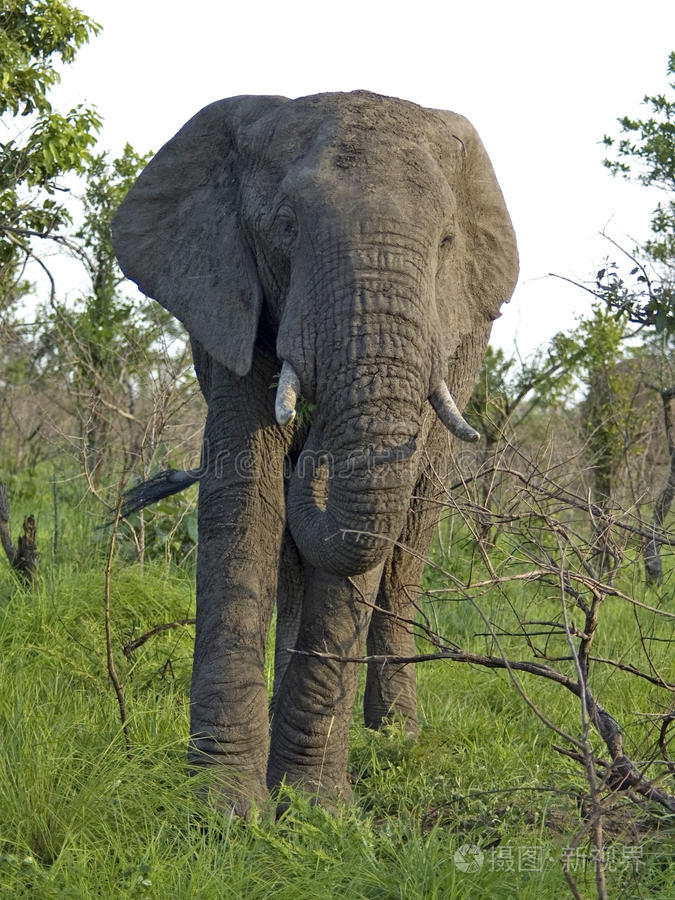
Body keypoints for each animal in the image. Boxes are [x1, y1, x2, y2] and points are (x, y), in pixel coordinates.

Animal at [113, 89, 520, 816]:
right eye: (285, 227)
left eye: (446, 242)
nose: (314, 443)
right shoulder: (229, 292)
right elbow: (245, 491)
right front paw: (225, 810)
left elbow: (365, 541)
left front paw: (313, 810)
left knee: (411, 535)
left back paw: (396, 739)